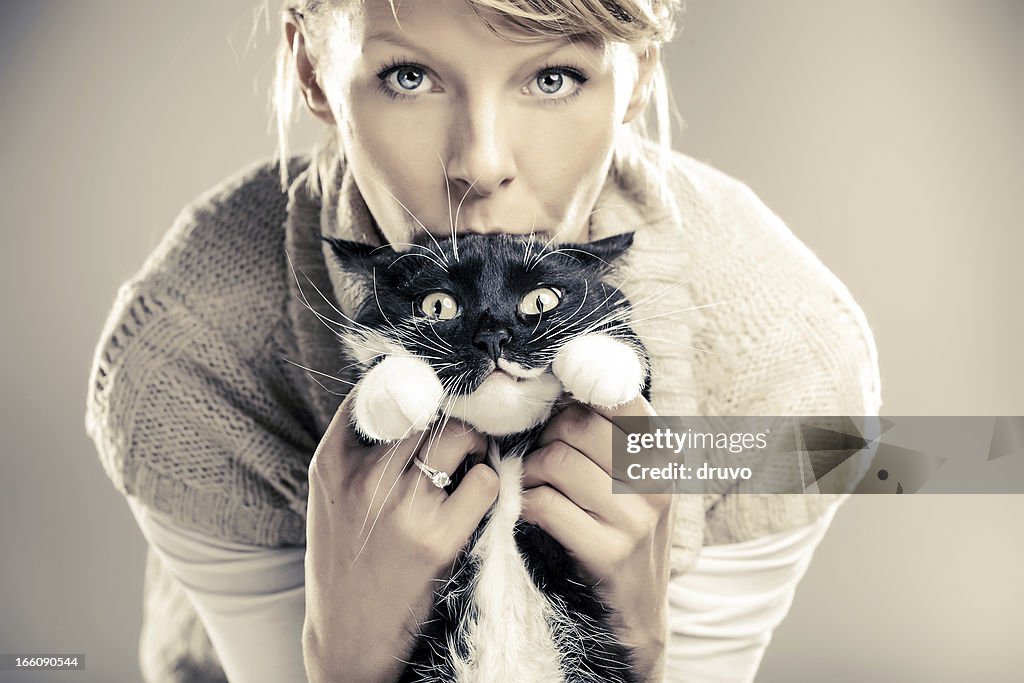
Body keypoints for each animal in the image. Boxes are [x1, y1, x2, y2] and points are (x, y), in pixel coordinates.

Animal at [323, 231, 651, 683]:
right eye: (438, 306)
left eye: (541, 300)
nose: (494, 337)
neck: (504, 441)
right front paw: (394, 387)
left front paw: (602, 360)